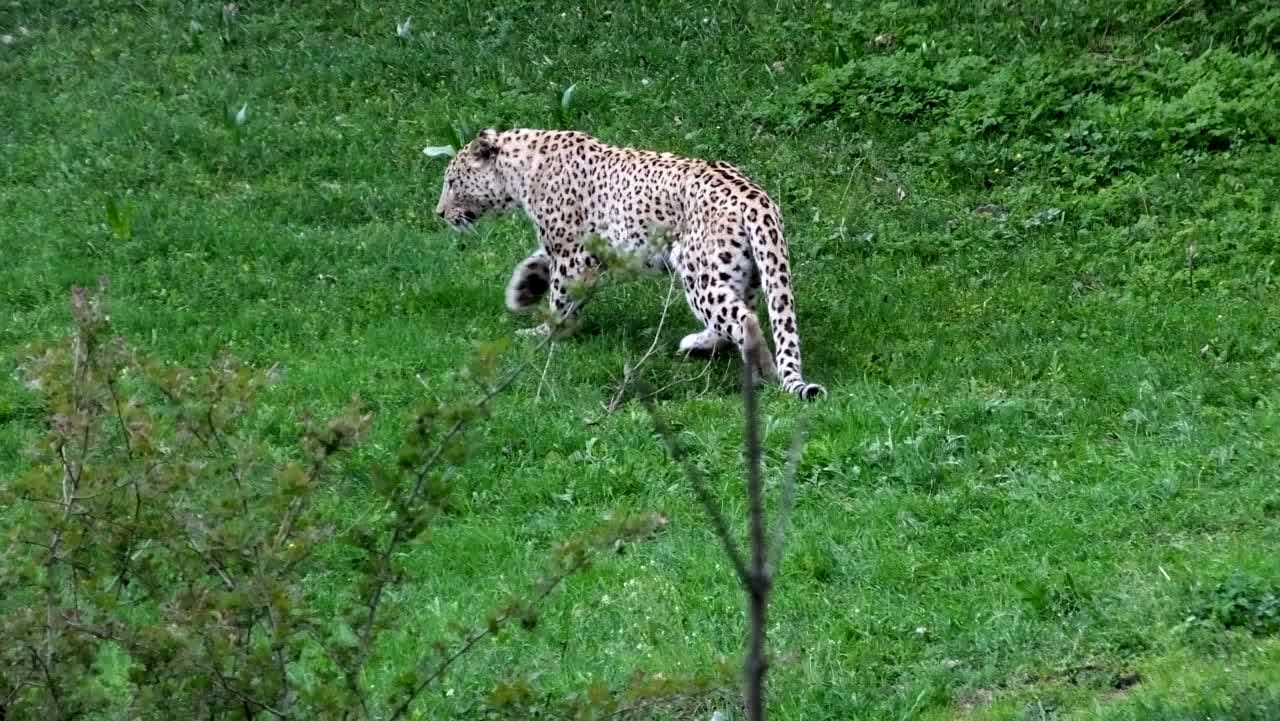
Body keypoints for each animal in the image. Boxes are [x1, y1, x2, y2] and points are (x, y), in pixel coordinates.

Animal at [435, 129, 824, 399]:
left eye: (452, 182)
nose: (439, 213)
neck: (520, 172)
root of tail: (756, 198)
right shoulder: (570, 248)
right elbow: (539, 262)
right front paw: (523, 291)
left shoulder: (572, 253)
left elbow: (562, 299)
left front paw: (546, 334)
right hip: (743, 271)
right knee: (737, 313)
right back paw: (698, 344)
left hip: (698, 271)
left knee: (744, 320)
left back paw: (763, 374)